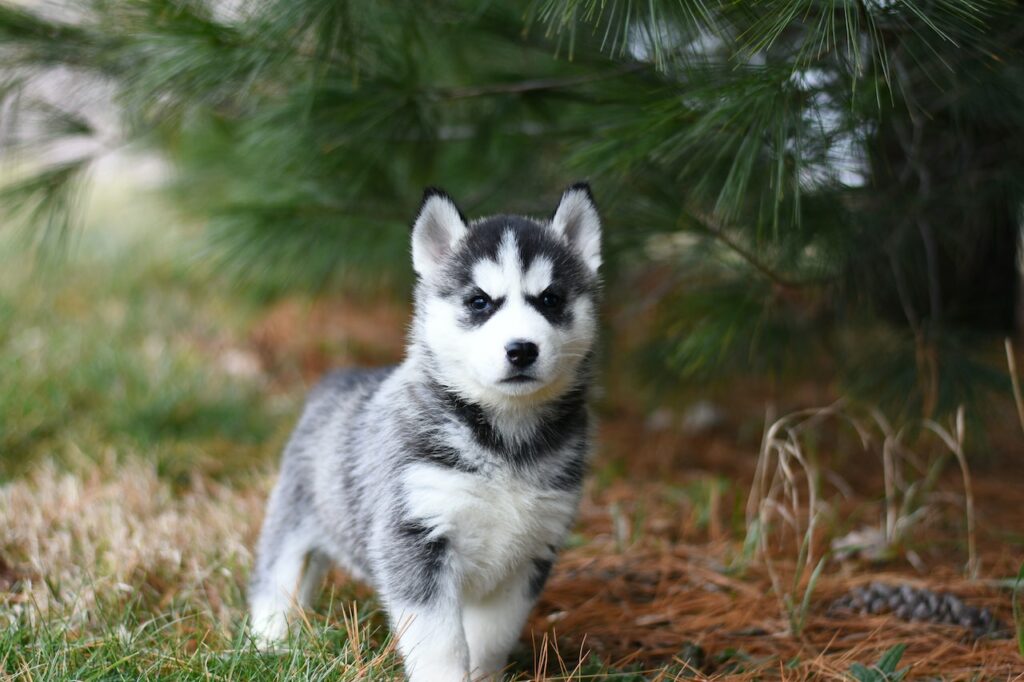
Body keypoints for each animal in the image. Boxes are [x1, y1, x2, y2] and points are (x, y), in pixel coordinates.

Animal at [248, 183, 598, 675]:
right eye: (479, 302)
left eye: (549, 299)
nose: (522, 349)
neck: (505, 440)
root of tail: (340, 377)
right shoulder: (414, 538)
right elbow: (440, 642)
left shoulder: (530, 554)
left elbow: (491, 637)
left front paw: (483, 675)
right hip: (292, 519)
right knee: (274, 580)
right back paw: (270, 643)